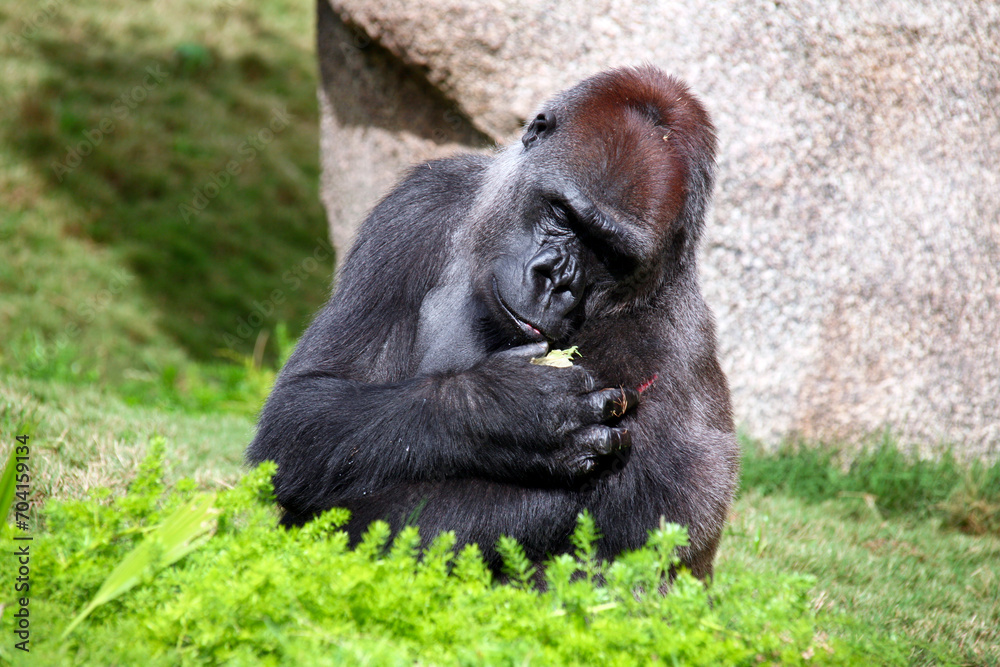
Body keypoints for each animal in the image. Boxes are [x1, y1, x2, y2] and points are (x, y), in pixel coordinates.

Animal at [246, 65, 740, 580]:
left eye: (610, 254)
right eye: (562, 213)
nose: (556, 281)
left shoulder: (666, 338)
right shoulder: (418, 204)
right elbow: (303, 408)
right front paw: (509, 411)